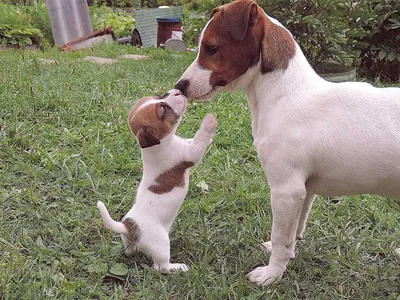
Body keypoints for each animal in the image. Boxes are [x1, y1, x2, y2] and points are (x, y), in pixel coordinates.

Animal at [97, 88, 217, 274]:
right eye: (164, 109)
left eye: (159, 96)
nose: (176, 90)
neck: (158, 145)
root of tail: (129, 227)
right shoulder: (190, 154)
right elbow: (199, 140)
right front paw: (209, 123)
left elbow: (190, 139)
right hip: (161, 244)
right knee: (161, 267)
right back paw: (178, 267)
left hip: (127, 241)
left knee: (129, 250)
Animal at [175, 0, 400, 286]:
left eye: (211, 48)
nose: (179, 86)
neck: (285, 93)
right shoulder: (303, 191)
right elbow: (293, 231)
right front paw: (282, 254)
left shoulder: (286, 191)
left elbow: (282, 235)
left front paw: (271, 274)